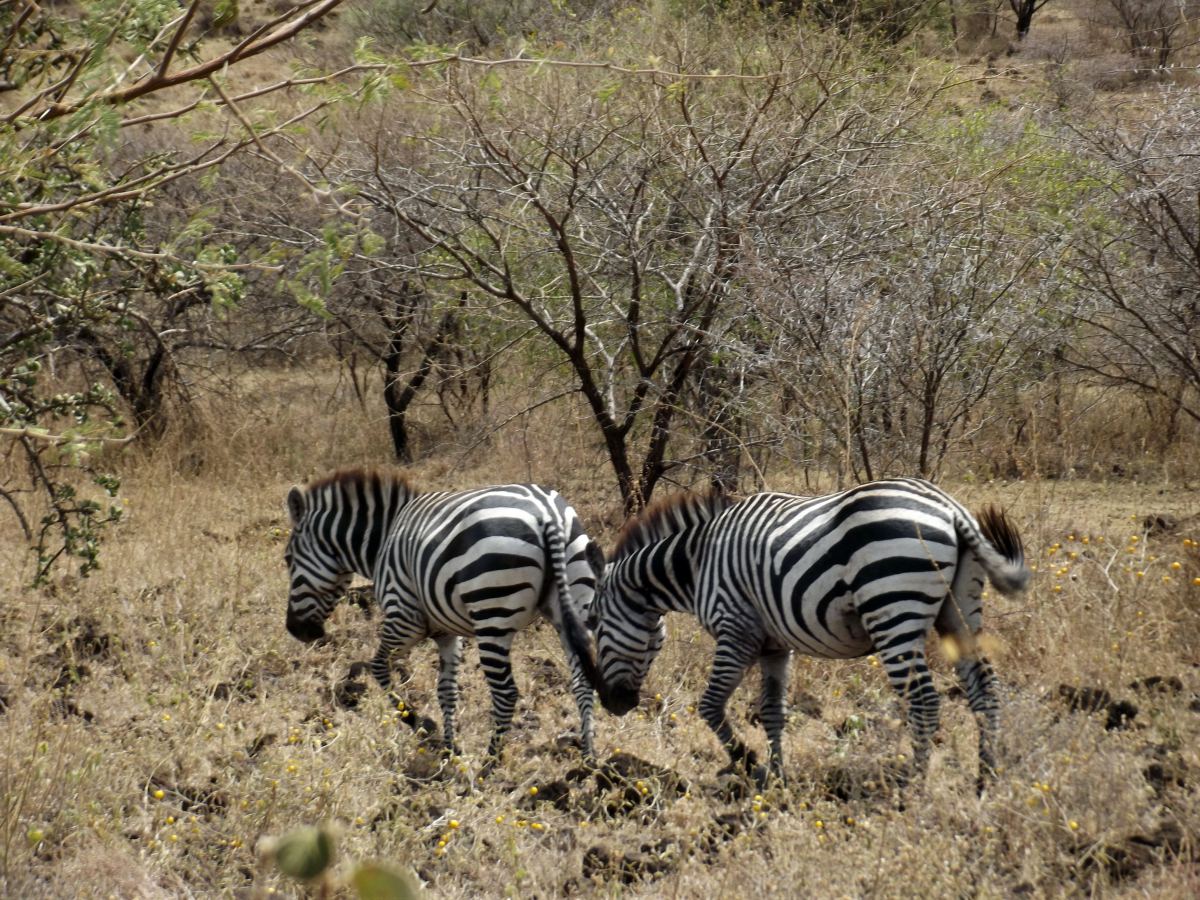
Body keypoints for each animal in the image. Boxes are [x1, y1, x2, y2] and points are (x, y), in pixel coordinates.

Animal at [284, 468, 604, 763]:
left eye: (287, 560)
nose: (294, 631)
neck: (382, 540)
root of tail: (548, 514)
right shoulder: (447, 632)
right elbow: (446, 690)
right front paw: (451, 749)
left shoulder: (403, 617)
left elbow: (379, 668)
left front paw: (419, 723)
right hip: (572, 601)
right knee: (583, 681)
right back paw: (589, 757)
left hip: (492, 614)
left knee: (505, 693)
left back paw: (489, 765)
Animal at [590, 480, 1032, 787]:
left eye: (595, 625)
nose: (613, 704)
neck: (698, 563)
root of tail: (950, 508)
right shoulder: (773, 646)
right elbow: (772, 711)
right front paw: (776, 777)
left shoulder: (736, 631)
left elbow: (710, 706)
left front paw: (747, 761)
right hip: (959, 613)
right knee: (984, 690)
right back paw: (985, 779)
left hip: (893, 610)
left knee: (924, 701)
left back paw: (913, 788)